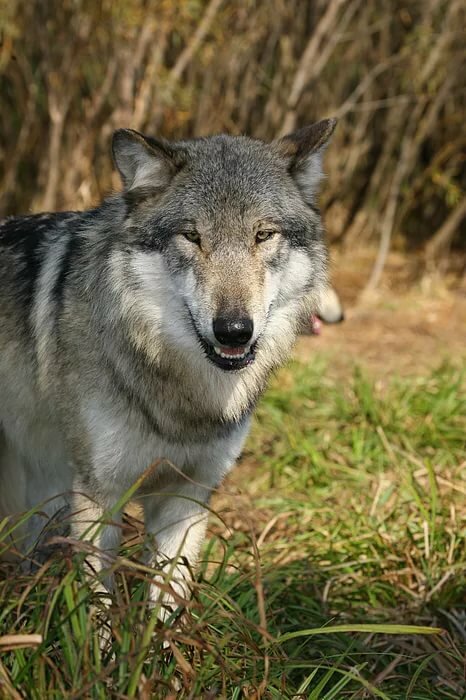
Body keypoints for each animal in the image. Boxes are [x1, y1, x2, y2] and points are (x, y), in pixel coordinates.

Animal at [0, 119, 335, 612]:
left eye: (263, 235)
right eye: (192, 236)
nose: (233, 330)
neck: (183, 400)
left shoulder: (190, 495)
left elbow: (167, 604)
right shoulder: (99, 493)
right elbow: (98, 607)